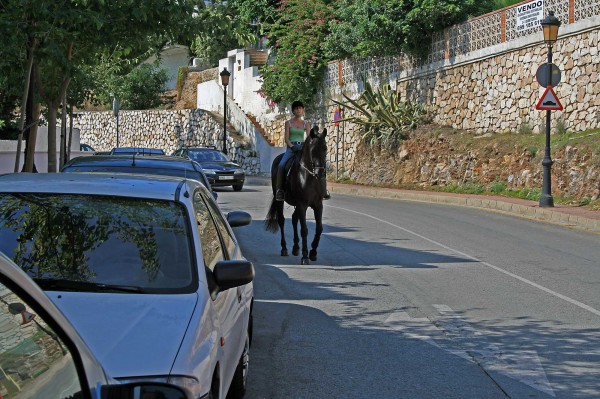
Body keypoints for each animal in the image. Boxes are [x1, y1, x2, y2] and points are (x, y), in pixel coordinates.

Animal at [264, 128, 328, 266]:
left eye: (325, 148)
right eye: (313, 150)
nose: (320, 172)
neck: (310, 176)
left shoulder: (318, 205)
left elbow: (319, 228)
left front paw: (313, 252)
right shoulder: (302, 204)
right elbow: (304, 230)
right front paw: (305, 256)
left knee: (294, 219)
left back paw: (296, 247)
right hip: (281, 201)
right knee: (282, 220)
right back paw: (284, 248)